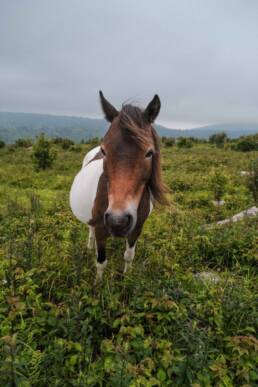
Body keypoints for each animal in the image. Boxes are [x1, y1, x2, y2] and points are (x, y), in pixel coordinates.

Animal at [70, 92, 167, 284]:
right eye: (104, 151)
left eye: (149, 153)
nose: (118, 220)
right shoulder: (101, 228)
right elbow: (101, 261)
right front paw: (98, 286)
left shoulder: (137, 227)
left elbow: (129, 255)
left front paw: (126, 279)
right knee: (90, 229)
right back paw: (90, 246)